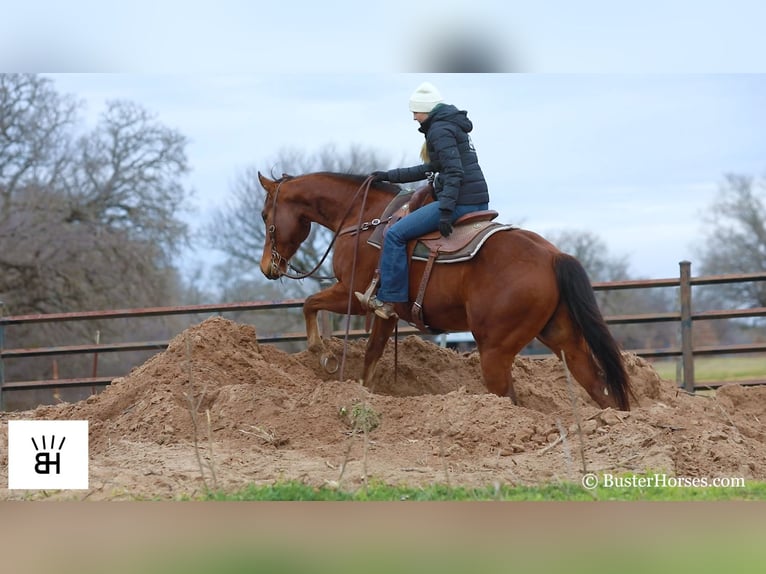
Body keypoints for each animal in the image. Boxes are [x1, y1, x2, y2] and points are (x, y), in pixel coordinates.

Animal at [260, 169, 636, 412]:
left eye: (265, 215)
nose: (267, 267)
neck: (363, 218)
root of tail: (553, 256)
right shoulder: (386, 311)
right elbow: (372, 353)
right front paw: (364, 392)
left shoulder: (353, 294)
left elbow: (309, 303)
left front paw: (320, 352)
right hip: (563, 338)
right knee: (597, 386)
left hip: (495, 349)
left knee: (508, 398)